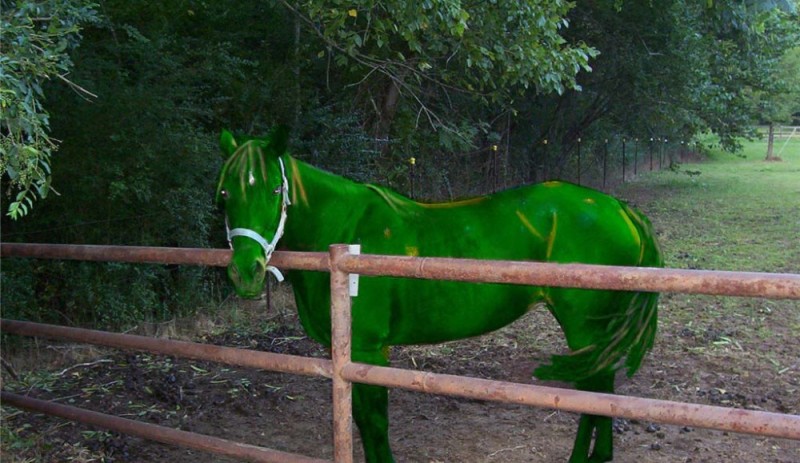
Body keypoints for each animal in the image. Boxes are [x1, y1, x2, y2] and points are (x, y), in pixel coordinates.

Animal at [217, 128, 664, 463]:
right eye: (224, 194)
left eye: (276, 188)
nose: (246, 272)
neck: (344, 230)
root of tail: (620, 209)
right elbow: (361, 420)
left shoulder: (367, 349)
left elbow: (374, 423)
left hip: (584, 327)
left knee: (596, 389)